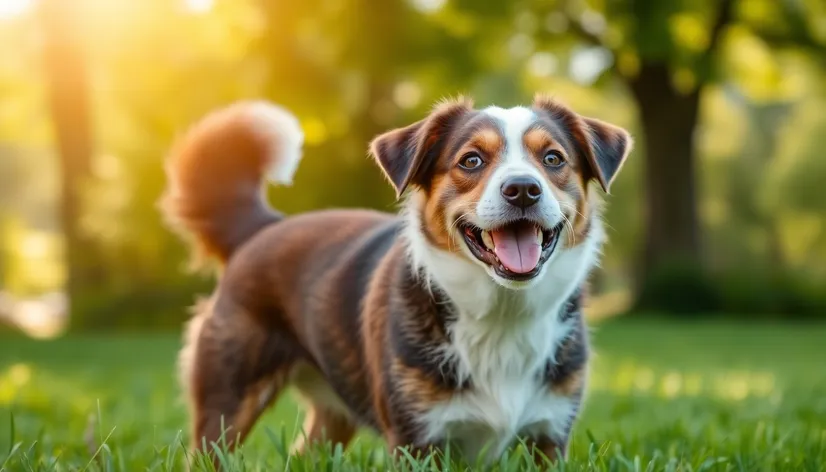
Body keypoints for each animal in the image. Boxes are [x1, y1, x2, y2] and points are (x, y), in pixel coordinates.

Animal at [161, 96, 632, 464]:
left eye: (553, 158)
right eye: (471, 160)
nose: (522, 189)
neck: (502, 313)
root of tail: (263, 227)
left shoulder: (549, 435)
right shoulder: (415, 439)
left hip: (332, 415)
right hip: (225, 402)